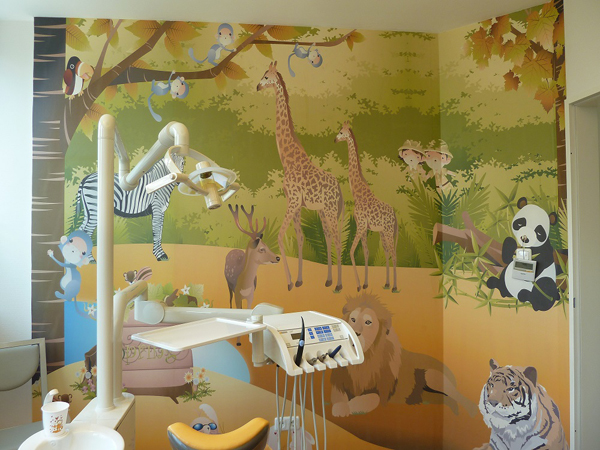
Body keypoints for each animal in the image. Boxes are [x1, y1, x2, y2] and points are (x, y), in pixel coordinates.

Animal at [257, 61, 344, 292]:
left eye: (266, 76)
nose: (258, 86)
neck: (288, 159)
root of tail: (339, 189)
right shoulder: (295, 203)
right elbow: (300, 238)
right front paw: (298, 280)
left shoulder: (294, 201)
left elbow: (280, 235)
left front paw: (288, 282)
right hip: (322, 210)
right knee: (329, 237)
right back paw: (328, 280)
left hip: (331, 211)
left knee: (338, 239)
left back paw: (339, 285)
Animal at [334, 121, 399, 292]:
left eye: (341, 132)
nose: (335, 139)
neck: (357, 193)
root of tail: (395, 216)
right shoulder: (363, 227)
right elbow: (366, 252)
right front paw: (364, 284)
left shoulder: (361, 225)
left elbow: (351, 251)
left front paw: (357, 286)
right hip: (383, 232)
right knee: (388, 252)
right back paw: (387, 284)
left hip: (388, 231)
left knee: (394, 253)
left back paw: (395, 287)